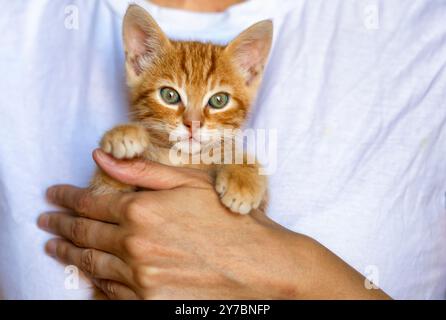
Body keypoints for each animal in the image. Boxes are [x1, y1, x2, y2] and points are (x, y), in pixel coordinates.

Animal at [89, 3, 272, 214]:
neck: (183, 159)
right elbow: (105, 184)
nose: (192, 123)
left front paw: (243, 178)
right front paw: (124, 134)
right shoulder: (101, 193)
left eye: (219, 100)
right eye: (169, 95)